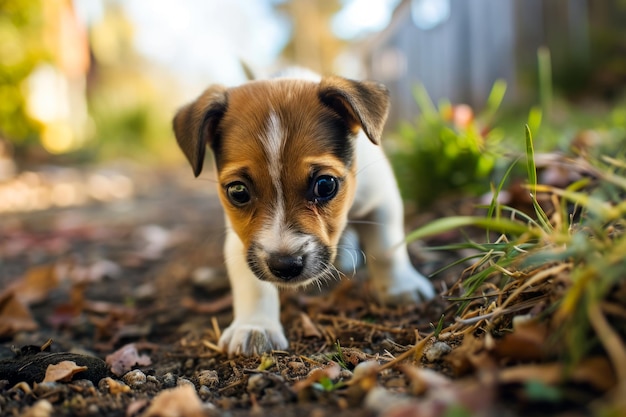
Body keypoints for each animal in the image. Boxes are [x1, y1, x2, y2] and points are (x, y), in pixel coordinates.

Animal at [171, 70, 434, 356]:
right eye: (238, 191)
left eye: (326, 185)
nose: (285, 266)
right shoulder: (240, 238)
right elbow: (251, 283)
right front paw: (255, 326)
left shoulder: (382, 199)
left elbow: (388, 249)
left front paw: (401, 287)